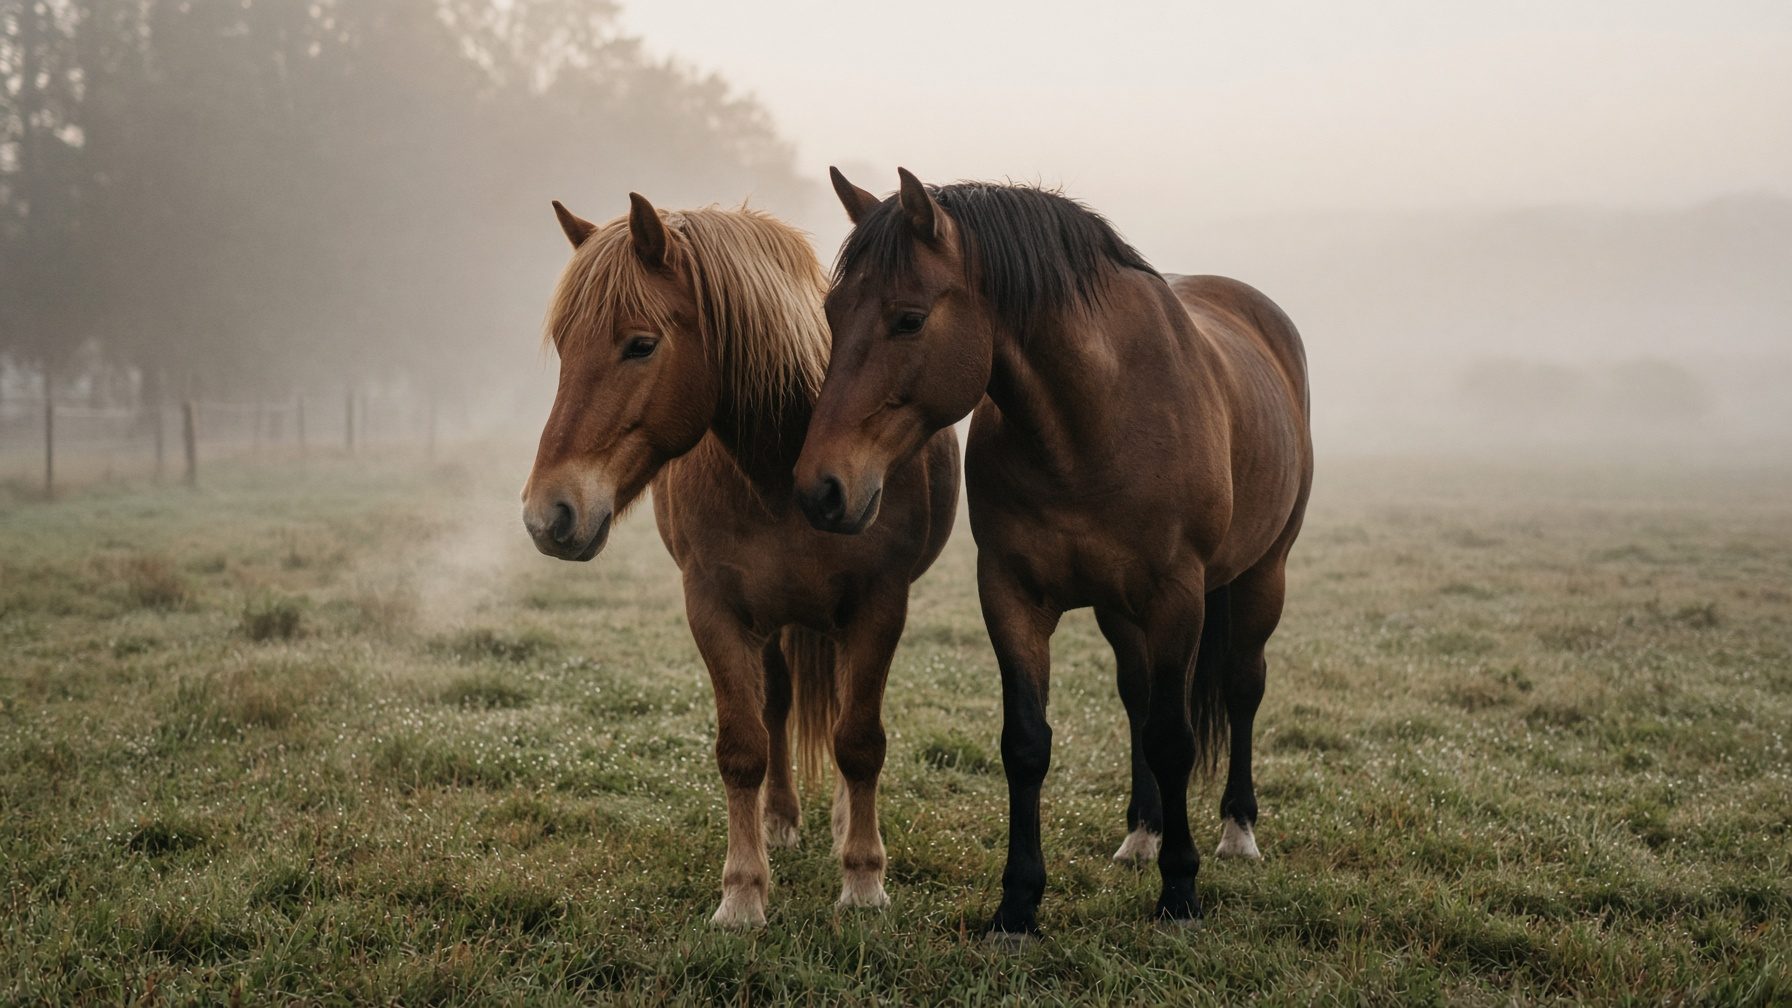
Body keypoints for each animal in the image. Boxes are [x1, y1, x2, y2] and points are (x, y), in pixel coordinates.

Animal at [521, 194, 960, 927]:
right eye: (563, 347)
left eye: (641, 344)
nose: (547, 515)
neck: (783, 469)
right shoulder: (715, 608)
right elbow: (743, 746)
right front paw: (743, 893)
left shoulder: (879, 605)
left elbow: (859, 740)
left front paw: (863, 881)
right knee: (778, 705)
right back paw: (780, 819)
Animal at [794, 169, 1312, 937]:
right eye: (833, 312)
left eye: (909, 319)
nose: (819, 489)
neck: (1092, 419)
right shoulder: (1012, 594)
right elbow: (1028, 743)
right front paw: (1017, 904)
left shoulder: (1177, 597)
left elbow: (1174, 737)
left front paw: (1180, 894)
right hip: (1120, 610)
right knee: (1136, 697)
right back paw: (1142, 832)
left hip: (1260, 577)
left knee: (1243, 687)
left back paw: (1237, 831)